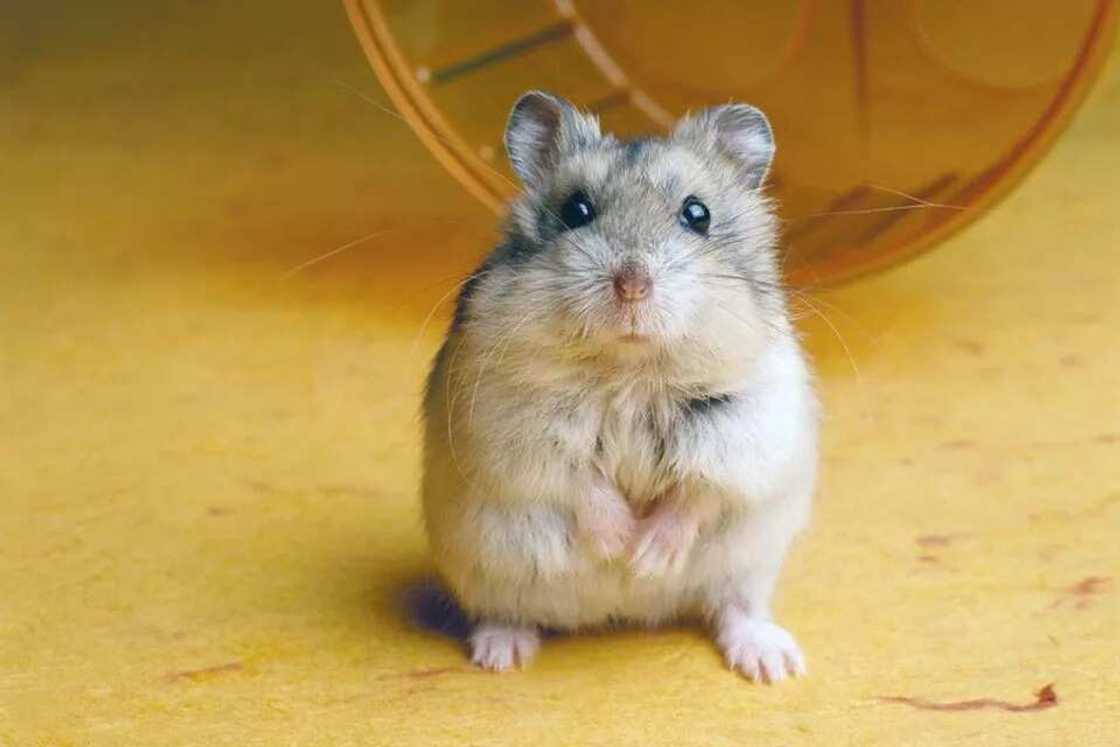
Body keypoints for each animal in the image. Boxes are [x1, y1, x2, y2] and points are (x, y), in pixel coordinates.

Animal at [421, 91, 818, 683]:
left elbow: (698, 490)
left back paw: (774, 664)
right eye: (576, 211)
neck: (631, 370)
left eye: (697, 214)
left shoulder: (742, 427)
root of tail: (618, 613)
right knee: (502, 609)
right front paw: (619, 546)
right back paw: (502, 656)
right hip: (484, 562)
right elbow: (581, 481)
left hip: (750, 558)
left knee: (734, 608)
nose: (632, 284)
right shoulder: (519, 425)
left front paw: (646, 556)